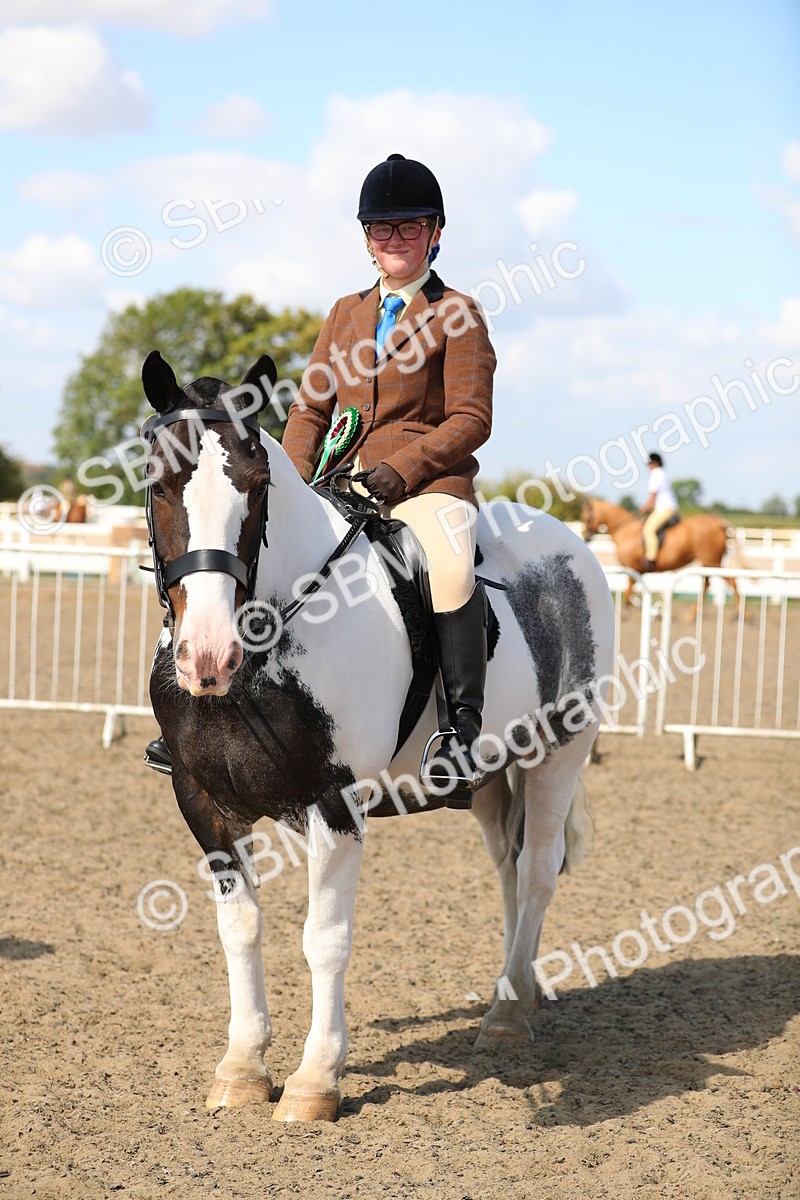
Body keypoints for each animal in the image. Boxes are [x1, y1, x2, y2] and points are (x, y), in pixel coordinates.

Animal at [142, 350, 616, 1123]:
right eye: (159, 482)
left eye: (257, 485)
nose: (207, 657)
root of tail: (569, 544)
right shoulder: (202, 801)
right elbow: (240, 927)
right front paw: (242, 1069)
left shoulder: (334, 804)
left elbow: (325, 939)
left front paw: (315, 1082)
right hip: (488, 778)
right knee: (510, 871)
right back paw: (514, 994)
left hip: (557, 755)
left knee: (539, 871)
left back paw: (507, 1016)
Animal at [580, 497, 738, 605]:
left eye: (586, 518)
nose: (585, 536)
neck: (625, 529)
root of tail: (719, 523)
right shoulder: (637, 570)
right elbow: (631, 591)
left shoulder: (632, 567)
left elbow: (629, 590)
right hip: (708, 563)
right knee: (707, 585)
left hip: (712, 561)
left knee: (730, 580)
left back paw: (739, 616)